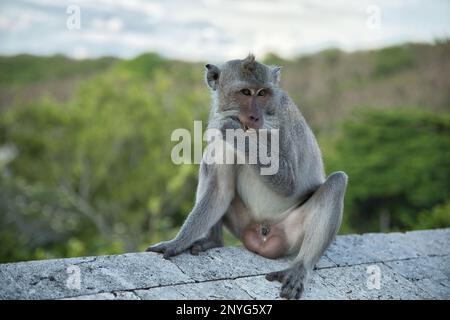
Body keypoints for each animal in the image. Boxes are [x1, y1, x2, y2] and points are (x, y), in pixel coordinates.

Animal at [148, 53, 348, 300]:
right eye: (245, 92)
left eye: (262, 93)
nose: (254, 117)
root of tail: (262, 238)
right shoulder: (217, 130)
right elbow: (220, 189)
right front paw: (177, 243)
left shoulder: (283, 121)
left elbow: (289, 183)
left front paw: (234, 129)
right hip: (244, 225)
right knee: (211, 171)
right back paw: (213, 239)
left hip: (292, 234)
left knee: (337, 182)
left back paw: (301, 267)